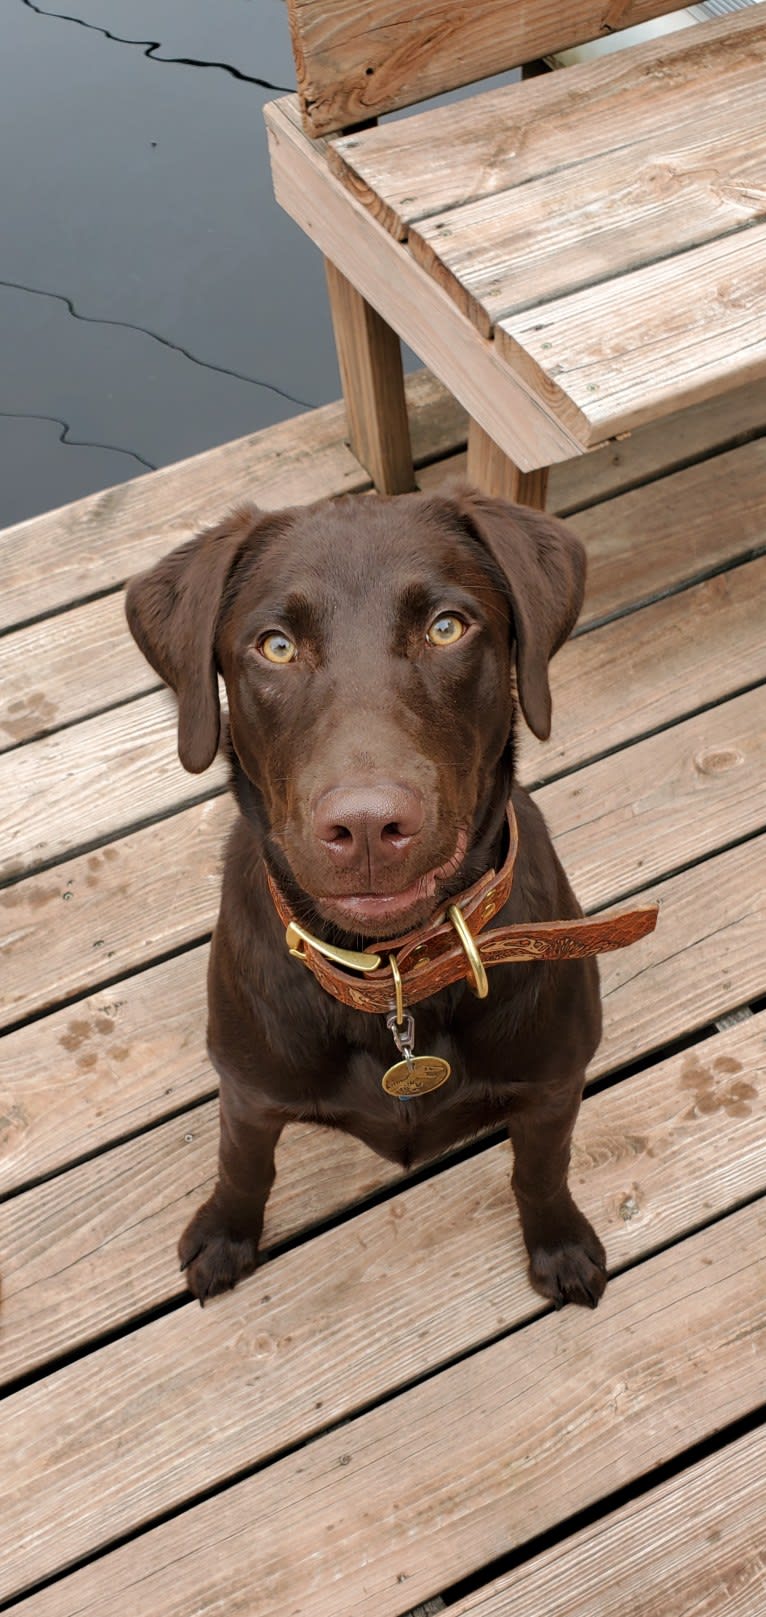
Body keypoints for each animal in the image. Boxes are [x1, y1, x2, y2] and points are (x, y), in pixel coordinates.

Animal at [126, 485, 617, 1306]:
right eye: (276, 646)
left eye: (447, 627)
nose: (364, 827)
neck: (393, 977)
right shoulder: (249, 1091)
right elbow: (243, 1165)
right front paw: (225, 1234)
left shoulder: (553, 1086)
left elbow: (541, 1171)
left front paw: (559, 1244)